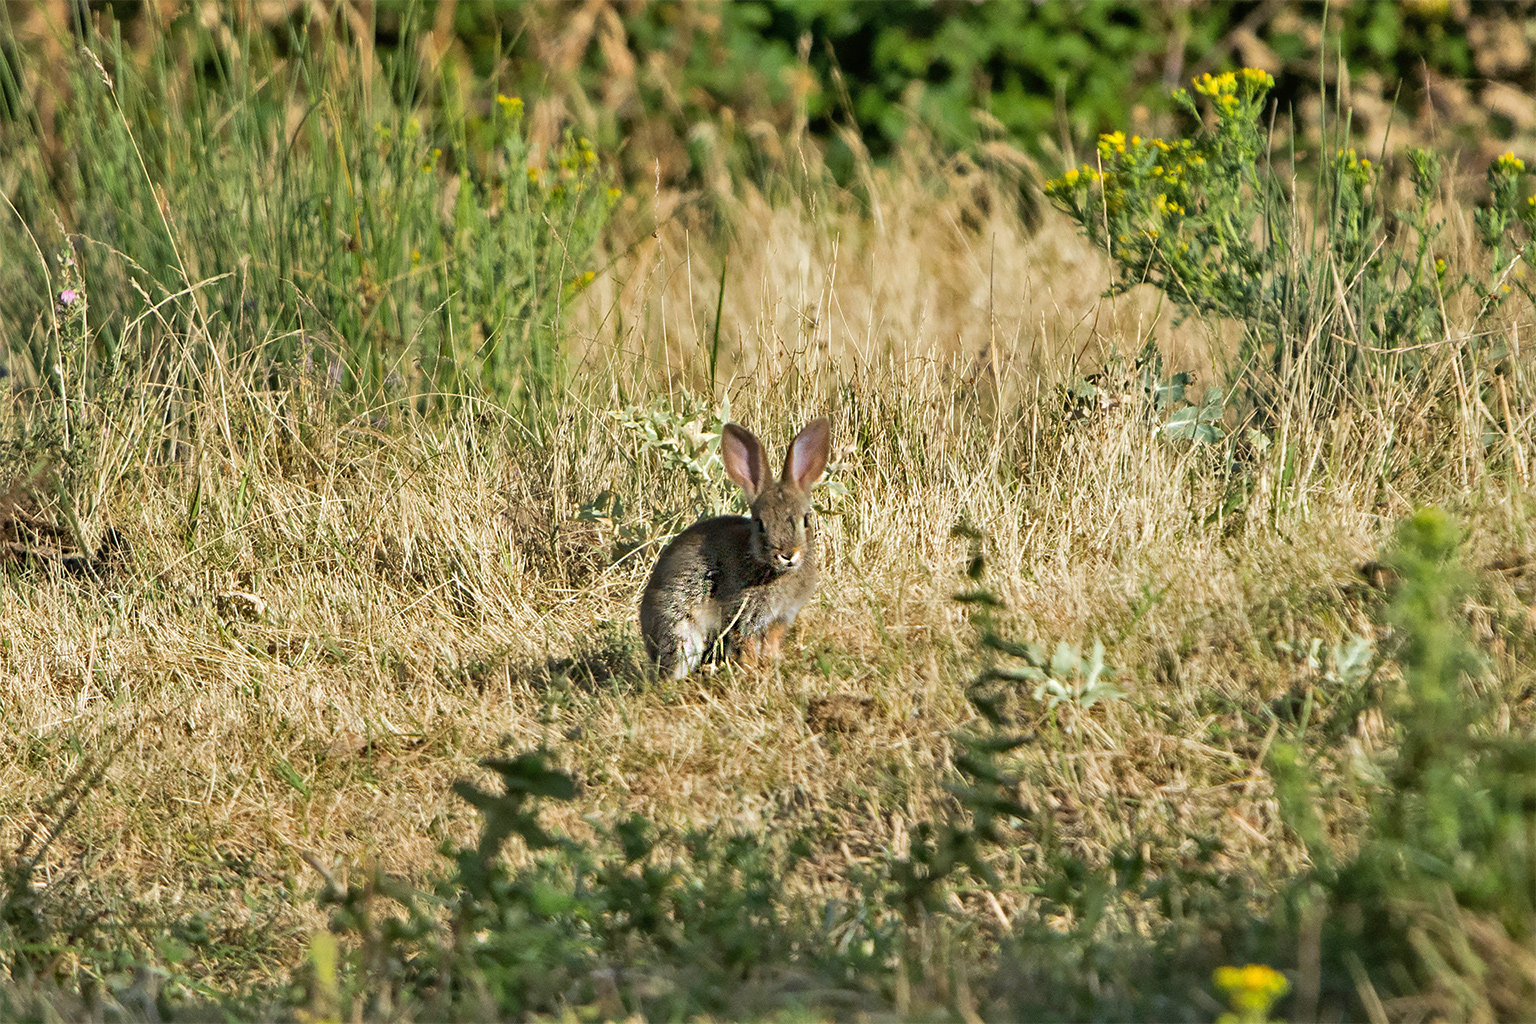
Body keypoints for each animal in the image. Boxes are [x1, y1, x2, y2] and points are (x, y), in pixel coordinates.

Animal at [635, 417, 829, 681]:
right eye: (760, 523)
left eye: (806, 519)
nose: (787, 554)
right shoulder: (743, 615)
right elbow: (745, 644)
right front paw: (752, 671)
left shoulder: (778, 620)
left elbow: (771, 644)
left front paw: (772, 664)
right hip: (680, 631)